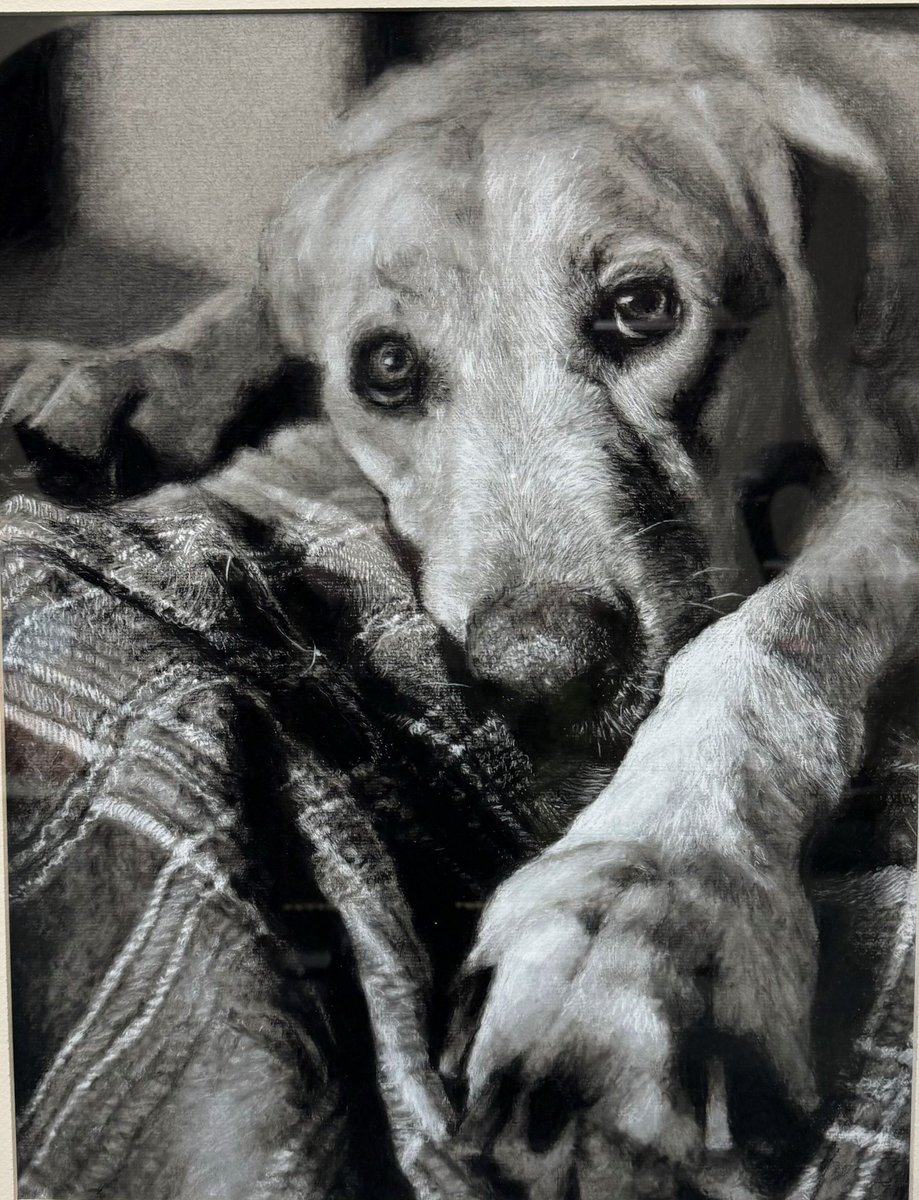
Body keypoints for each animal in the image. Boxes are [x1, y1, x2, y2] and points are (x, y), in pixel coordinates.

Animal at [1, 11, 919, 1200]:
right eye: (386, 368)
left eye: (641, 306)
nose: (546, 678)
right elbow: (251, 299)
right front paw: (130, 374)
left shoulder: (888, 468)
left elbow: (771, 641)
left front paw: (647, 900)